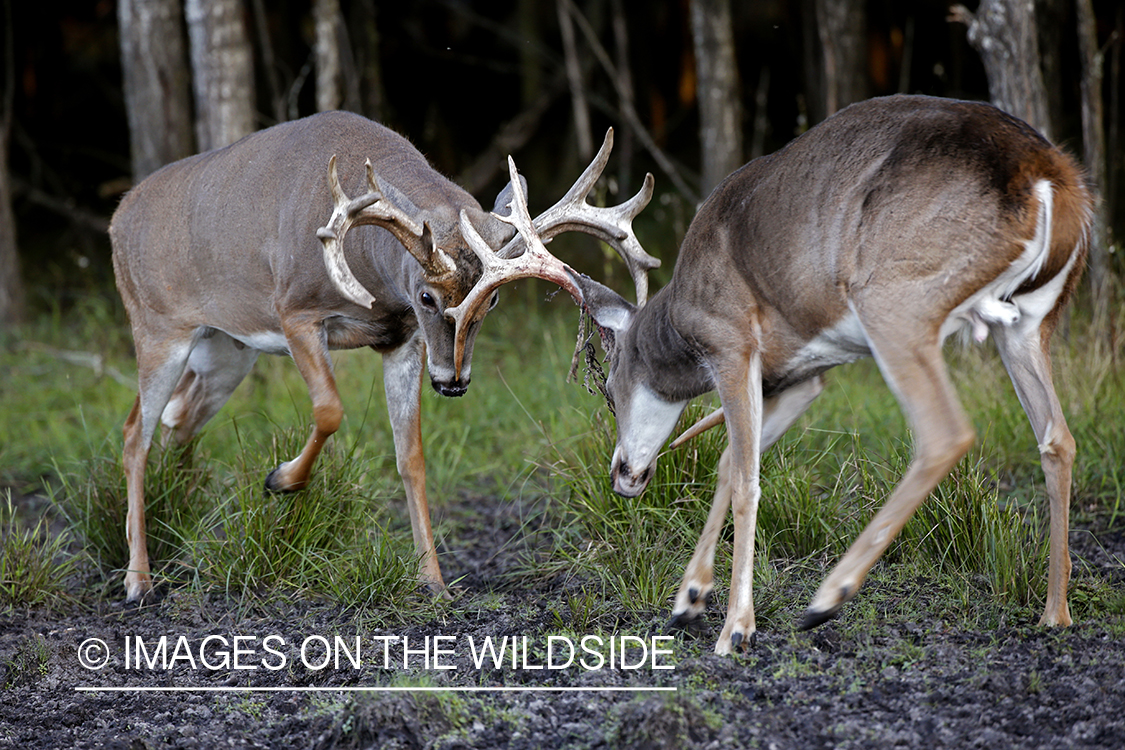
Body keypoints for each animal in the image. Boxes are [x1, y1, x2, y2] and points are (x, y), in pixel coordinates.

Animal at [109, 110, 657, 602]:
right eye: (427, 298)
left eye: (494, 300)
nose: (453, 381)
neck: (372, 269)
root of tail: (117, 219)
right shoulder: (296, 312)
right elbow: (330, 409)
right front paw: (281, 480)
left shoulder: (401, 341)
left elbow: (410, 455)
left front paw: (433, 581)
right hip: (158, 327)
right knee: (136, 432)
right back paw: (139, 581)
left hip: (227, 348)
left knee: (178, 420)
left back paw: (182, 528)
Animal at [465, 95, 1089, 656]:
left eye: (610, 390)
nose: (622, 476)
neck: (681, 314)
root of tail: (1051, 178)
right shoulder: (800, 373)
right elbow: (727, 463)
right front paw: (689, 598)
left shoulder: (731, 341)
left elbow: (747, 479)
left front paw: (734, 629)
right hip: (1029, 320)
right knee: (1057, 437)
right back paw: (1054, 612)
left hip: (897, 299)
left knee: (946, 433)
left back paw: (827, 598)